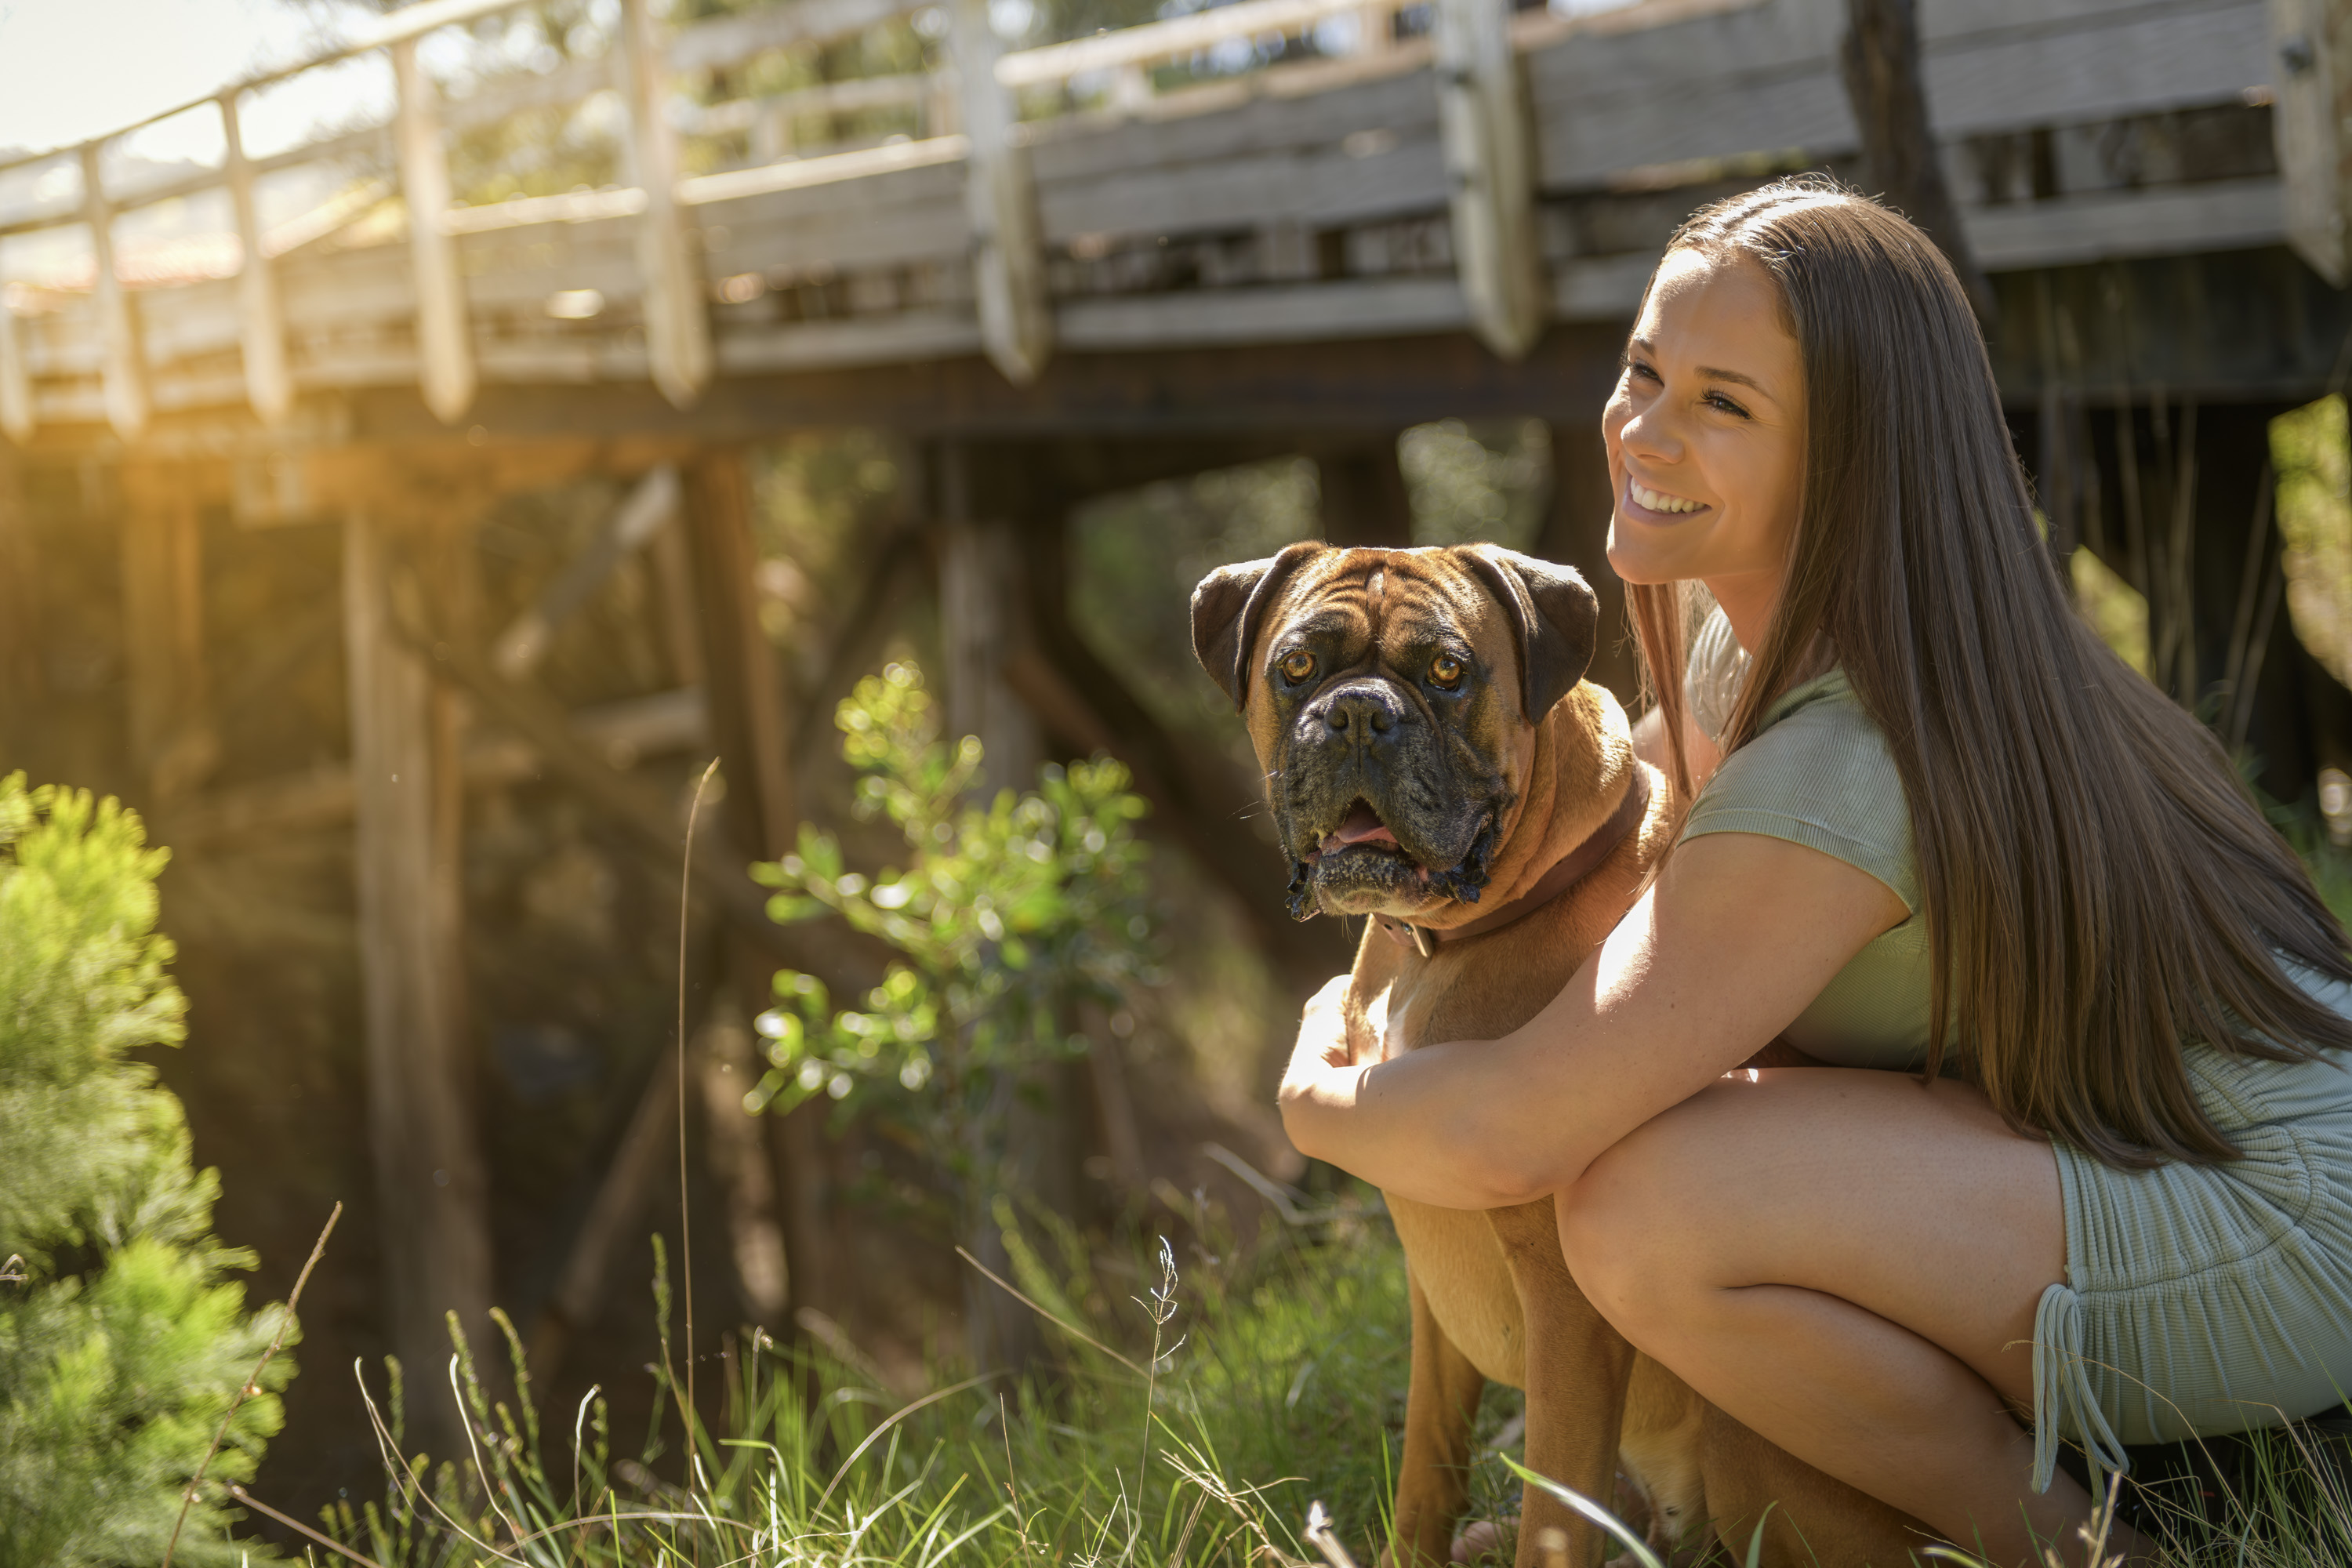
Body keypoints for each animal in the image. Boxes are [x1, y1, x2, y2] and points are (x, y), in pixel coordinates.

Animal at [1185, 543, 1919, 1568]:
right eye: (1296, 666)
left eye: (1447, 671)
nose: (1358, 711)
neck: (1439, 942)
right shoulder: (1433, 1295)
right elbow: (1428, 1463)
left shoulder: (1568, 1314)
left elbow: (1554, 1516)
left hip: (1752, 1449)